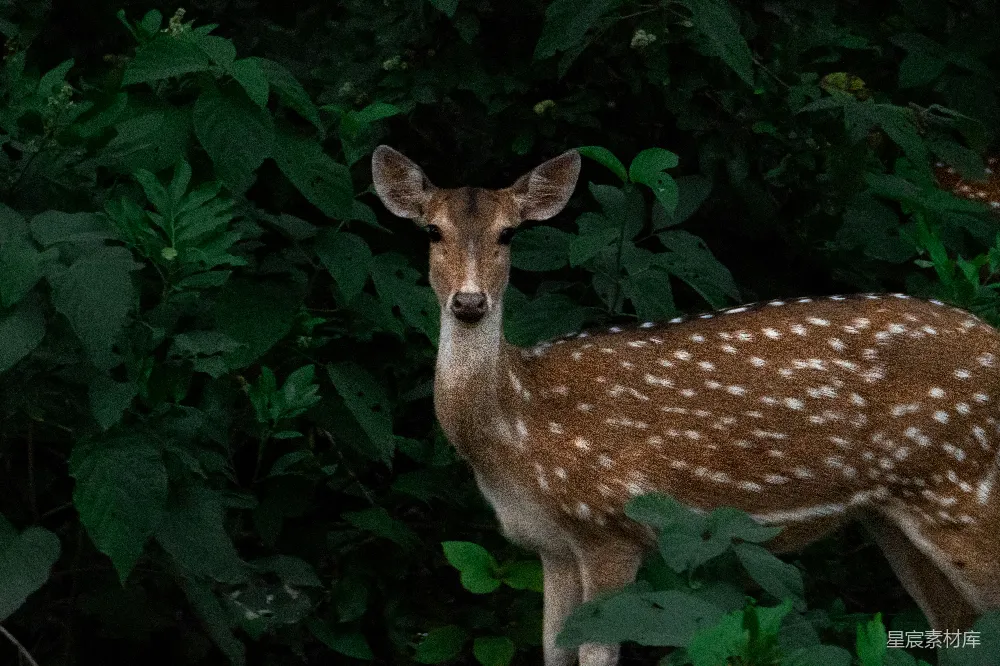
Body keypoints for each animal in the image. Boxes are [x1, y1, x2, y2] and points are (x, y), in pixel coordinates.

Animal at [371, 145, 1000, 666]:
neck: (517, 430)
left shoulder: (612, 526)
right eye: (432, 231)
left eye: (508, 234)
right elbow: (554, 652)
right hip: (893, 519)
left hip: (965, 493)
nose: (469, 302)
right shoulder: (548, 545)